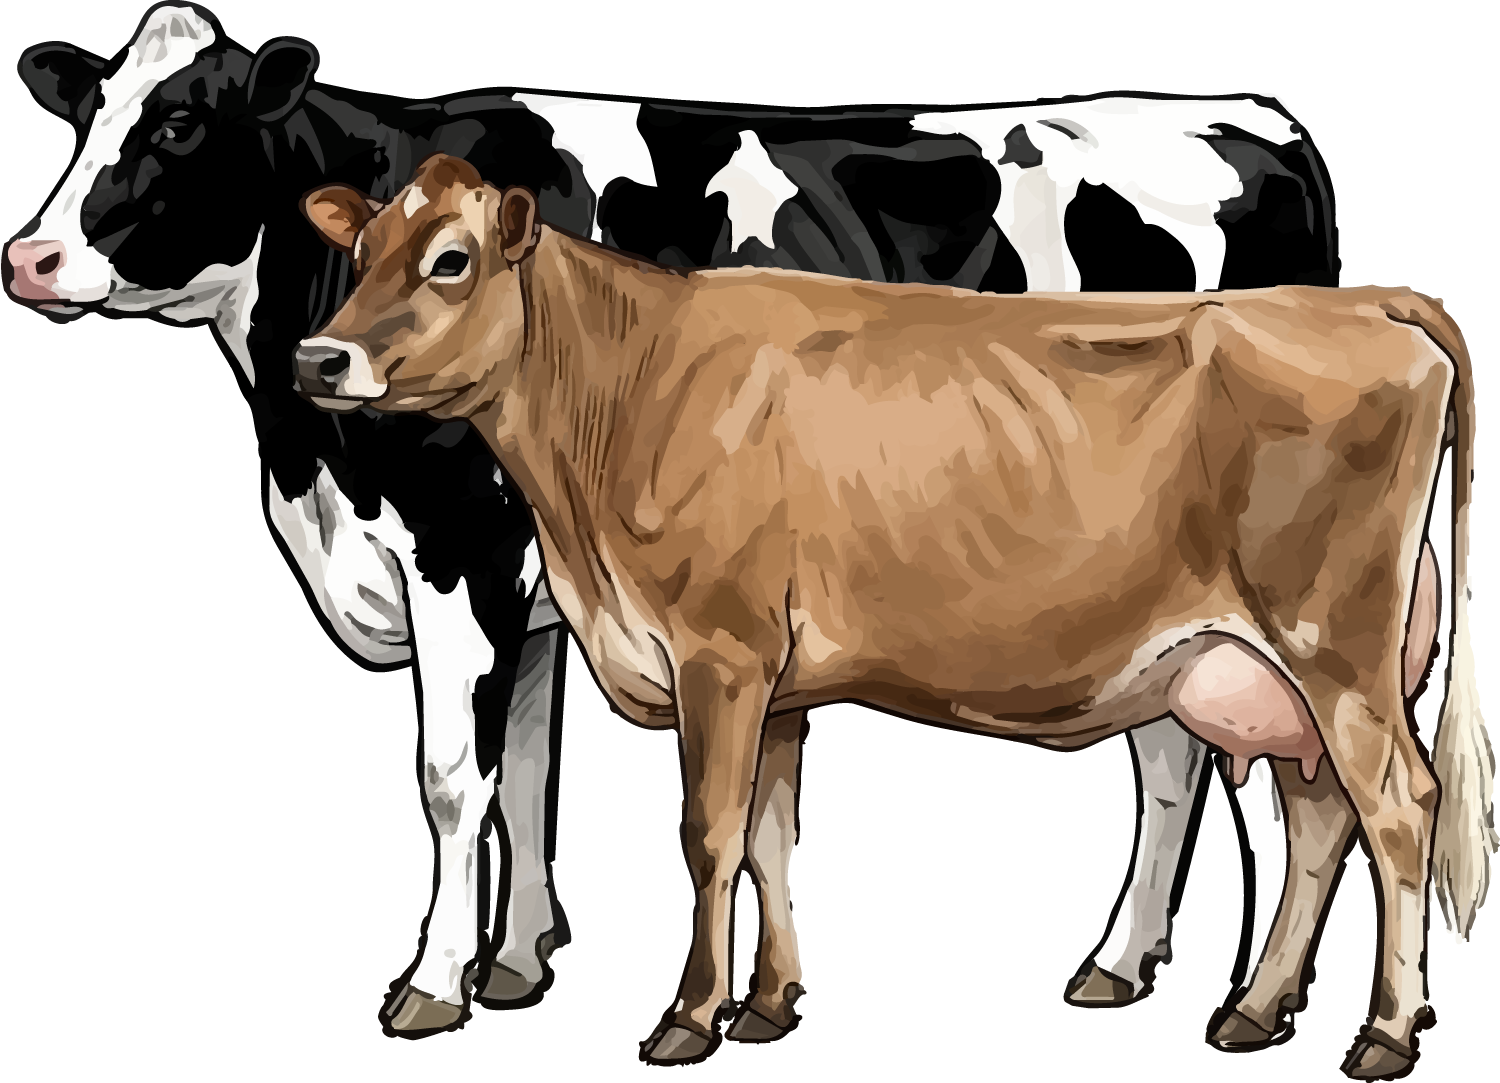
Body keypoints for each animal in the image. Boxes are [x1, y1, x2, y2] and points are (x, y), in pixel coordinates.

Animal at [3, 0, 1368, 1038]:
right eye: (84, 110)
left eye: (182, 119)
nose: (31, 258)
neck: (312, 462)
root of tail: (1250, 116)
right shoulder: (542, 591)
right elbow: (533, 771)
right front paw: (518, 963)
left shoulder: (461, 563)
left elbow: (452, 778)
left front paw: (433, 983)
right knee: (1176, 754)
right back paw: (1123, 965)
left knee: (1224, 764)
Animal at [293, 153, 1491, 1079]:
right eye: (363, 252)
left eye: (451, 259)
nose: (318, 356)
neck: (626, 391)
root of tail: (1363, 300)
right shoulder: (776, 681)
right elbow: (771, 835)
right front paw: (767, 1005)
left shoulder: (720, 655)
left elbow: (707, 834)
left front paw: (688, 1016)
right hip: (1269, 670)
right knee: (1317, 816)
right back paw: (1252, 1009)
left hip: (1334, 645)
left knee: (1397, 805)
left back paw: (1385, 1033)